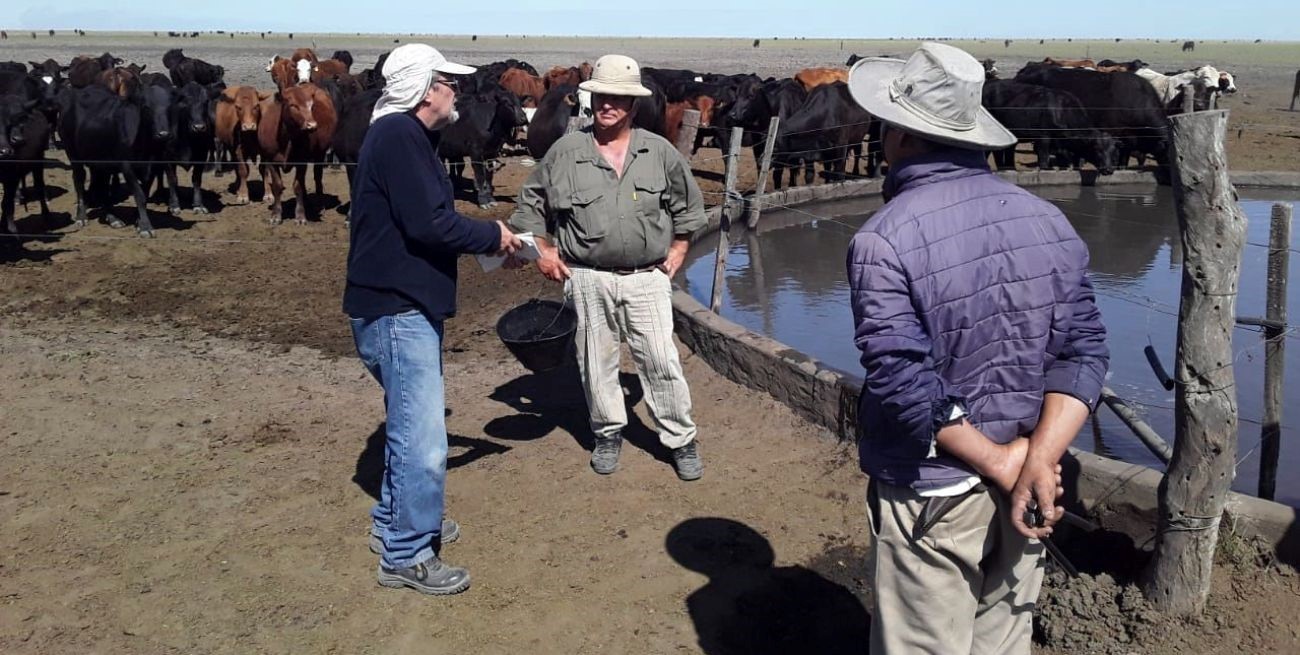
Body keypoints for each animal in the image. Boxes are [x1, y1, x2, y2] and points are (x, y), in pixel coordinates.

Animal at [0, 93, 52, 232]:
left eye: (21, 120)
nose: (18, 140)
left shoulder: (11, 178)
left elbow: (6, 204)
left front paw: (10, 229)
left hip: (38, 161)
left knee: (39, 186)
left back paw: (46, 216)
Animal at [256, 83, 338, 224]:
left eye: (311, 106)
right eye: (293, 105)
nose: (312, 125)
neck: (286, 137)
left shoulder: (302, 160)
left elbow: (297, 186)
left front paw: (300, 216)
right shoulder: (271, 160)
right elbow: (277, 186)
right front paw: (276, 214)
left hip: (320, 153)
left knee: (317, 176)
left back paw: (320, 204)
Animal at [982, 79, 1118, 174]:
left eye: (1113, 150)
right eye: (1097, 148)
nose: (1108, 170)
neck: (1062, 109)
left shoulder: (1060, 145)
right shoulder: (1043, 138)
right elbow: (1043, 160)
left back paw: (1010, 168)